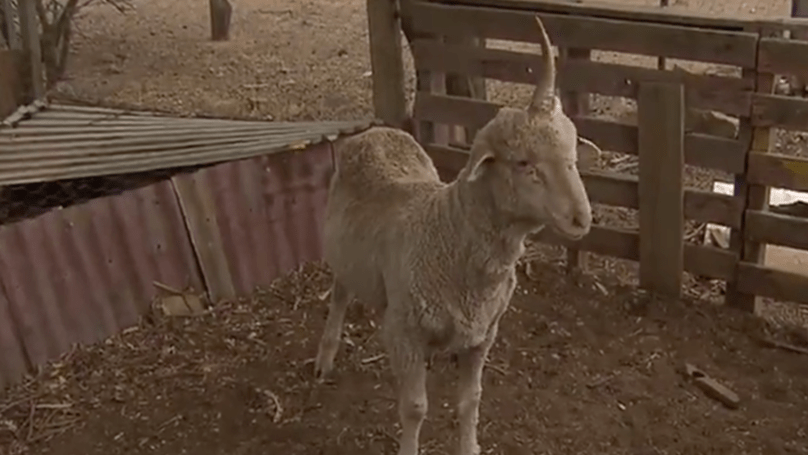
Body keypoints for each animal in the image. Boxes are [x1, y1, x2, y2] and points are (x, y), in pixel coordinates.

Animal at [313, 16, 601, 455]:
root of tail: (380, 131)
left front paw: (469, 445)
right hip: (343, 258)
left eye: (572, 157)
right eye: (524, 163)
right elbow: (414, 408)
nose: (580, 218)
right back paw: (325, 357)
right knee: (339, 296)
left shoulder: (484, 335)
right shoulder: (405, 333)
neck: (449, 233)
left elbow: (471, 401)